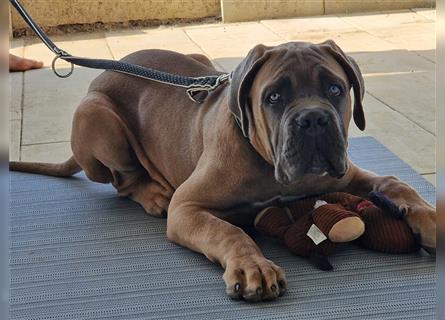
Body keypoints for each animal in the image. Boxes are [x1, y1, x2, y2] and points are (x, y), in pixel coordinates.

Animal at [9, 40, 434, 302]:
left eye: (335, 89)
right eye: (273, 97)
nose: (312, 120)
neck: (267, 165)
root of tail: (98, 76)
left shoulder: (349, 176)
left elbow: (394, 182)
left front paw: (429, 216)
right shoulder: (188, 208)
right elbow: (228, 231)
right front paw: (253, 267)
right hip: (97, 115)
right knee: (122, 180)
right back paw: (153, 193)